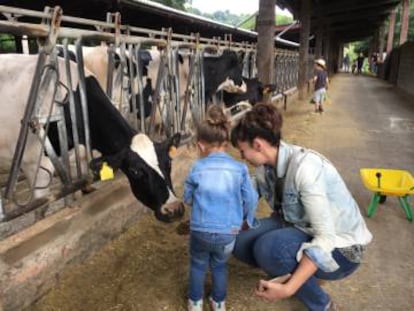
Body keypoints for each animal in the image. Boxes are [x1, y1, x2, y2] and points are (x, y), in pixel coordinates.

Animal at [0, 54, 184, 223]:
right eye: (135, 171)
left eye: (169, 162)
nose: (174, 209)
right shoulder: (35, 166)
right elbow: (41, 209)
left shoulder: (76, 158)